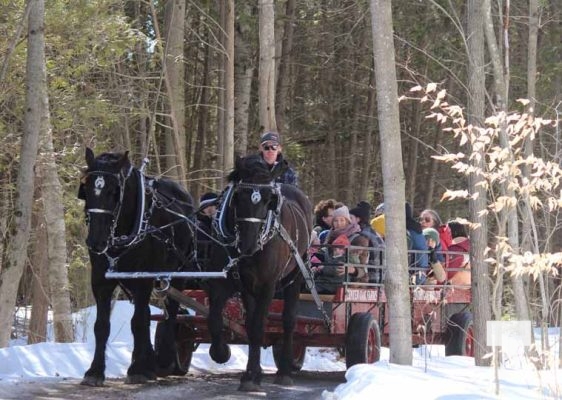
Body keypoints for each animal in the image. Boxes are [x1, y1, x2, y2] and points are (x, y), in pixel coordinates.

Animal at [77, 147, 195, 384]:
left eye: (114, 191)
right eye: (86, 189)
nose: (96, 241)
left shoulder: (143, 278)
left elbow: (138, 321)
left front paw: (139, 369)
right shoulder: (101, 279)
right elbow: (102, 326)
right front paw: (95, 371)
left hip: (177, 272)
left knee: (170, 312)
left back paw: (165, 359)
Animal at [206, 155, 312, 392]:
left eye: (268, 200)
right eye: (238, 196)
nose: (248, 244)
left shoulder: (267, 285)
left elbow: (257, 327)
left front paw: (251, 376)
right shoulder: (237, 283)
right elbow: (219, 318)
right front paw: (223, 355)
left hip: (296, 275)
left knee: (289, 320)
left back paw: (284, 372)